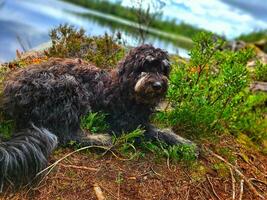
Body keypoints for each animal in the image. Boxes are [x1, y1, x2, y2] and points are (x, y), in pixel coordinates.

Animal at [0, 44, 194, 191]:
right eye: (145, 66)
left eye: (163, 69)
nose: (158, 85)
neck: (126, 89)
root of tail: (11, 98)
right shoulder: (125, 125)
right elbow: (158, 133)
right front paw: (186, 144)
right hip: (69, 85)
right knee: (68, 136)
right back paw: (100, 140)